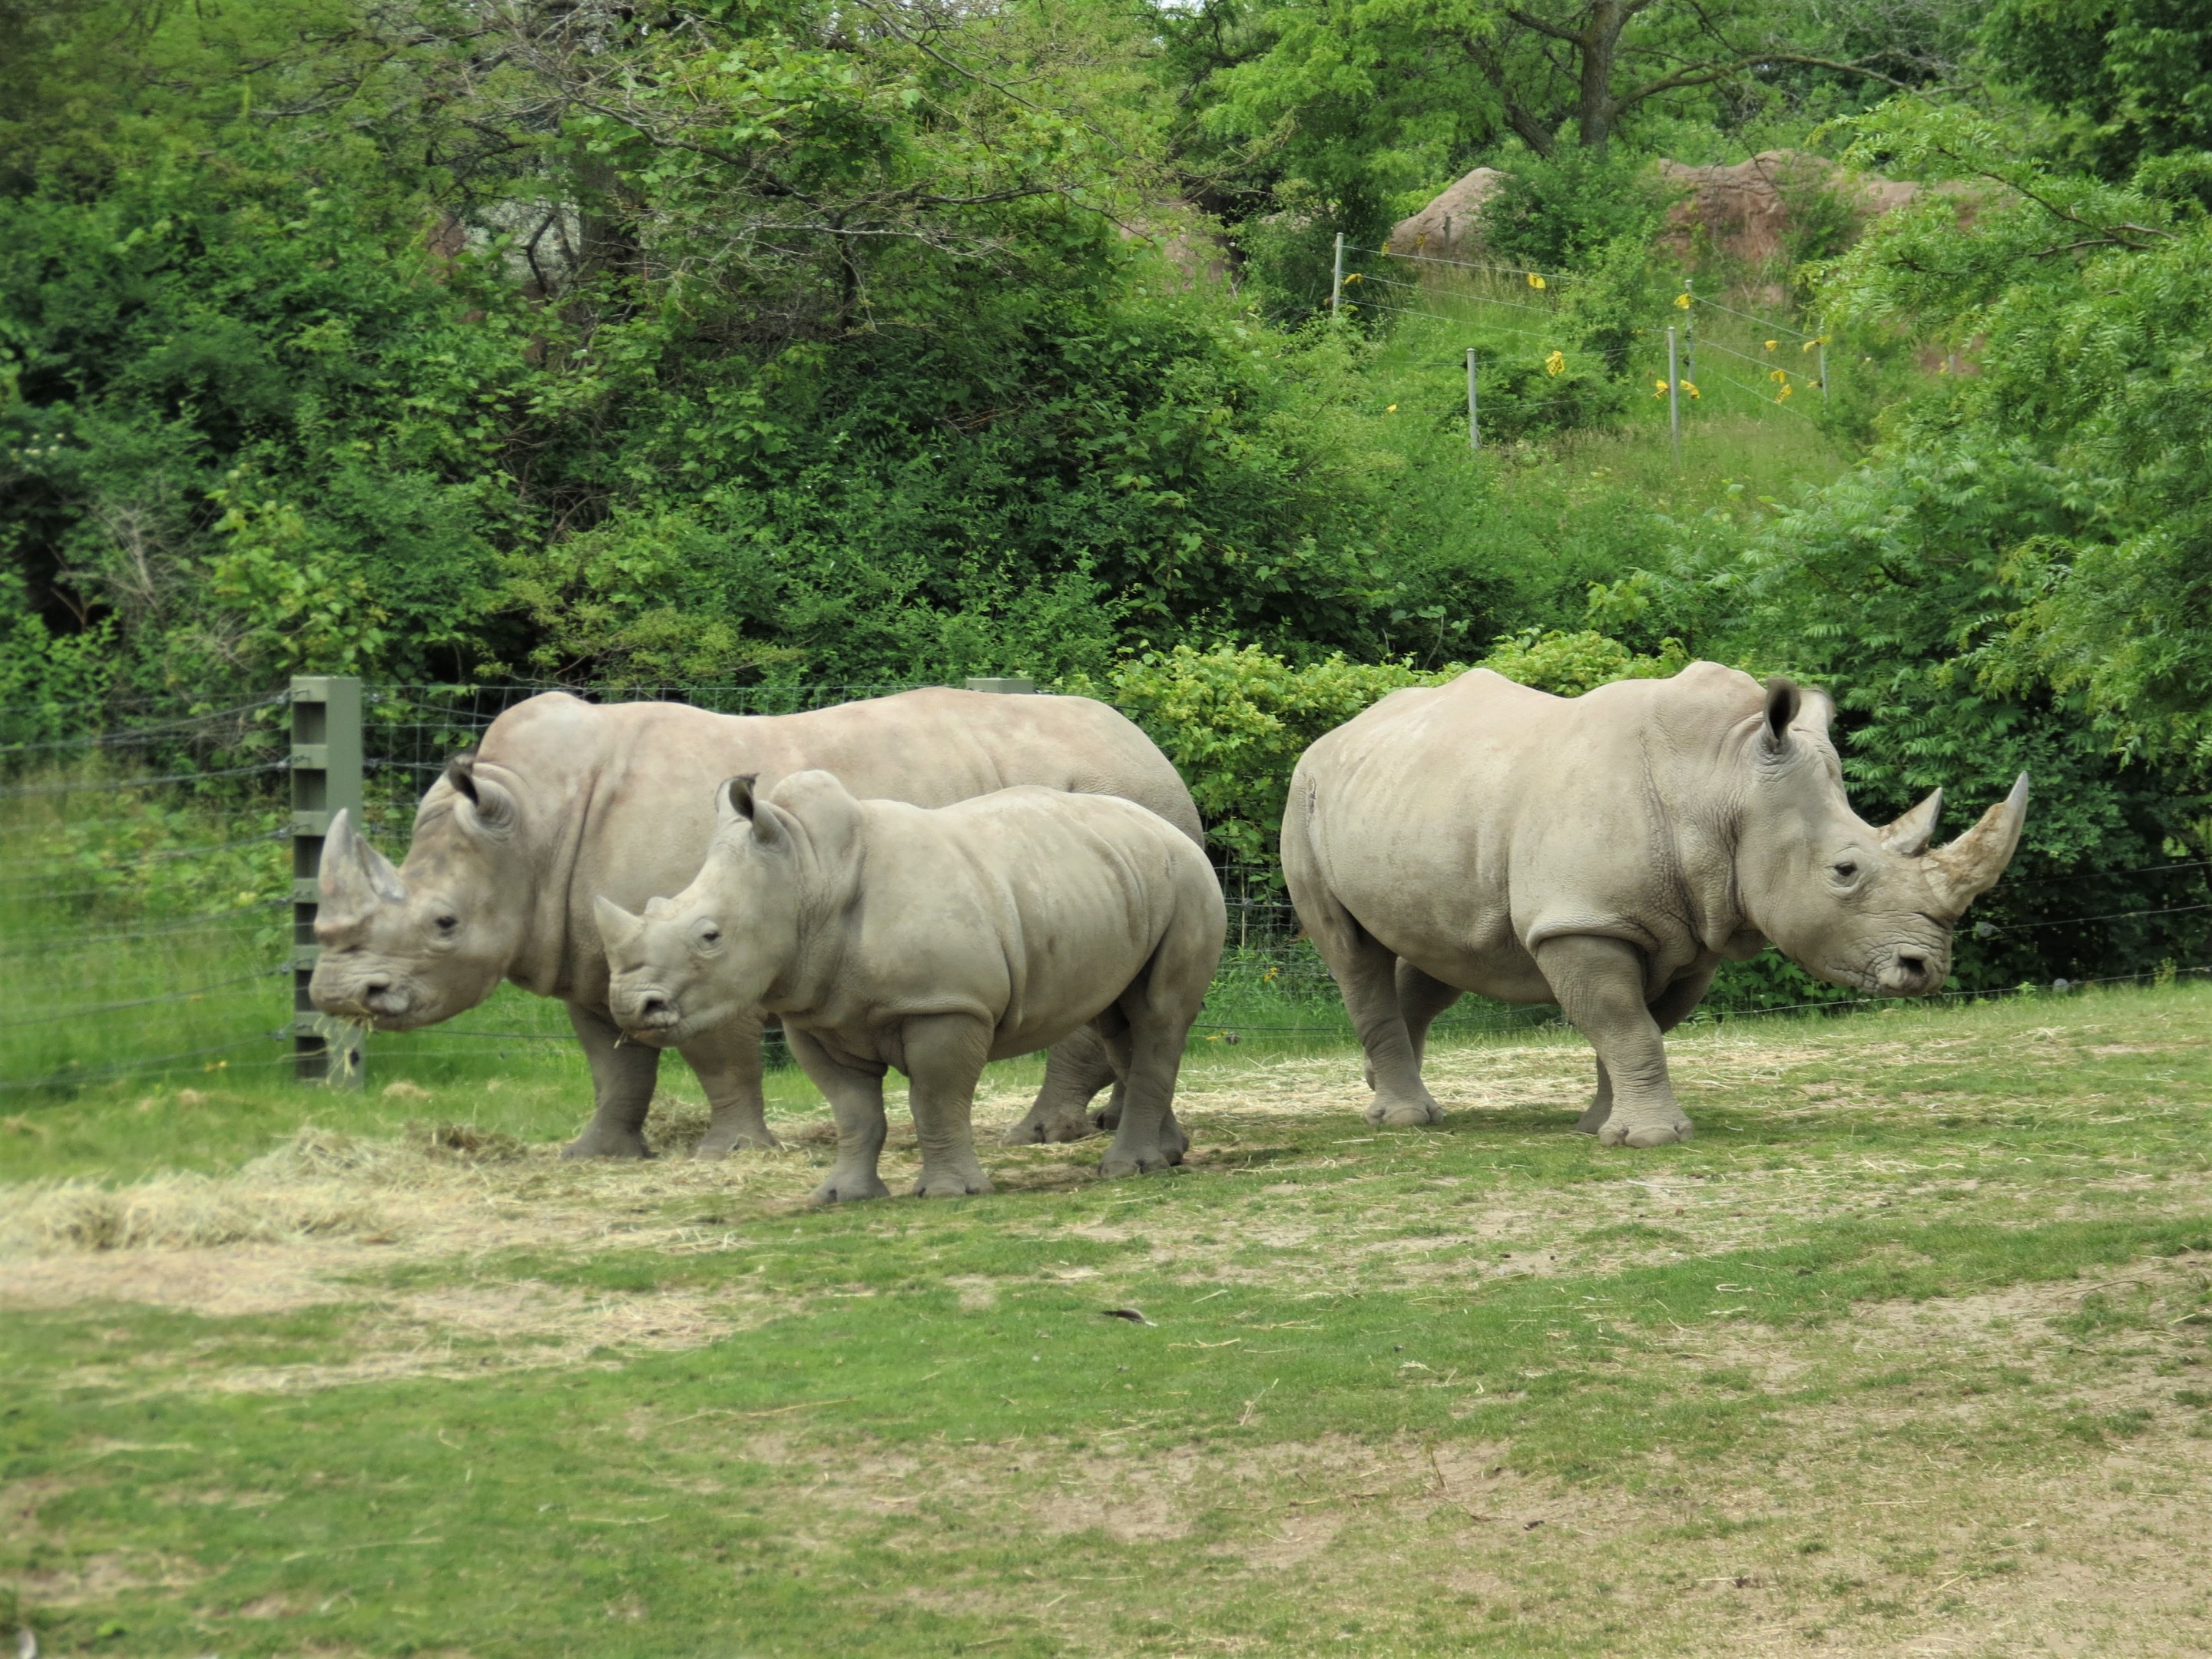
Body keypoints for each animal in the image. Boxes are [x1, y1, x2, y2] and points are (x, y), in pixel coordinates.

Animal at [309, 689, 1204, 1159]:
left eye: (444, 922)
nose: (338, 996)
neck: (532, 823)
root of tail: (1156, 752)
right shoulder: (596, 961)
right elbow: (613, 1064)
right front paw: (595, 1153)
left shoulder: (711, 960)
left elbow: (714, 1055)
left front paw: (731, 1153)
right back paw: (1110, 1127)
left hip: (1119, 802)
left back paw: (1039, 1136)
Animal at [593, 772, 1225, 1200]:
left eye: (710, 936)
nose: (629, 1007)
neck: (807, 876)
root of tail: (1173, 827)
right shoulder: (815, 1017)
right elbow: (853, 1111)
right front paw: (841, 1197)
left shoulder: (944, 1005)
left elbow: (935, 1100)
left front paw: (949, 1194)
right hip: (1120, 879)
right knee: (1122, 1023)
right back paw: (1167, 1157)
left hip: (1189, 882)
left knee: (1159, 1015)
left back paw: (1126, 1170)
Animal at [1282, 663, 2029, 1147]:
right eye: (1845, 871)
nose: (1925, 970)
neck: (1723, 778)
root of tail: (1339, 733)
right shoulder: (1583, 920)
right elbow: (1626, 1025)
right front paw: (1653, 1139)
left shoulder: (1694, 928)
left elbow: (1641, 1027)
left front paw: (1602, 1127)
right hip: (1305, 793)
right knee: (1353, 953)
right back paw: (1407, 1121)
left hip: (1419, 802)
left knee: (1442, 956)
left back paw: (1384, 1090)